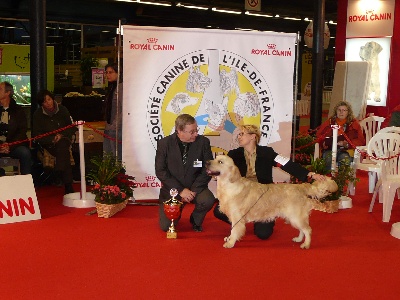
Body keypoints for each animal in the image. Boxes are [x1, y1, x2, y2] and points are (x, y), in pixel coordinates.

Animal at [206, 156, 338, 250]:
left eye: (220, 162)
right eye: (215, 158)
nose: (207, 162)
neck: (229, 184)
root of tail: (299, 186)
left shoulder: (237, 216)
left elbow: (234, 230)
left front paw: (230, 243)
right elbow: (232, 229)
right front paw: (229, 239)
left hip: (295, 216)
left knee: (308, 230)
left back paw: (306, 244)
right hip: (293, 217)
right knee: (302, 229)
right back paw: (299, 239)